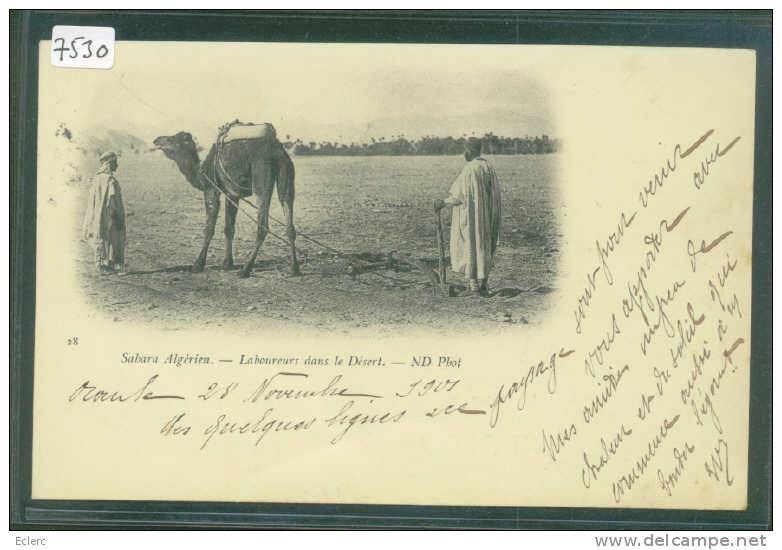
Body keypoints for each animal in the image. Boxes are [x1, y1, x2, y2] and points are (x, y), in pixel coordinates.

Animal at [152, 130, 300, 280]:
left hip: (261, 176)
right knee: (289, 222)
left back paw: (246, 269)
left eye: (171, 139)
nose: (156, 139)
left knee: (262, 226)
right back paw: (294, 268)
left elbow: (209, 228)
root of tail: (278, 152)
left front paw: (198, 265)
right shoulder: (232, 194)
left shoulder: (211, 189)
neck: (201, 172)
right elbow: (229, 228)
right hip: (287, 174)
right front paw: (227, 264)